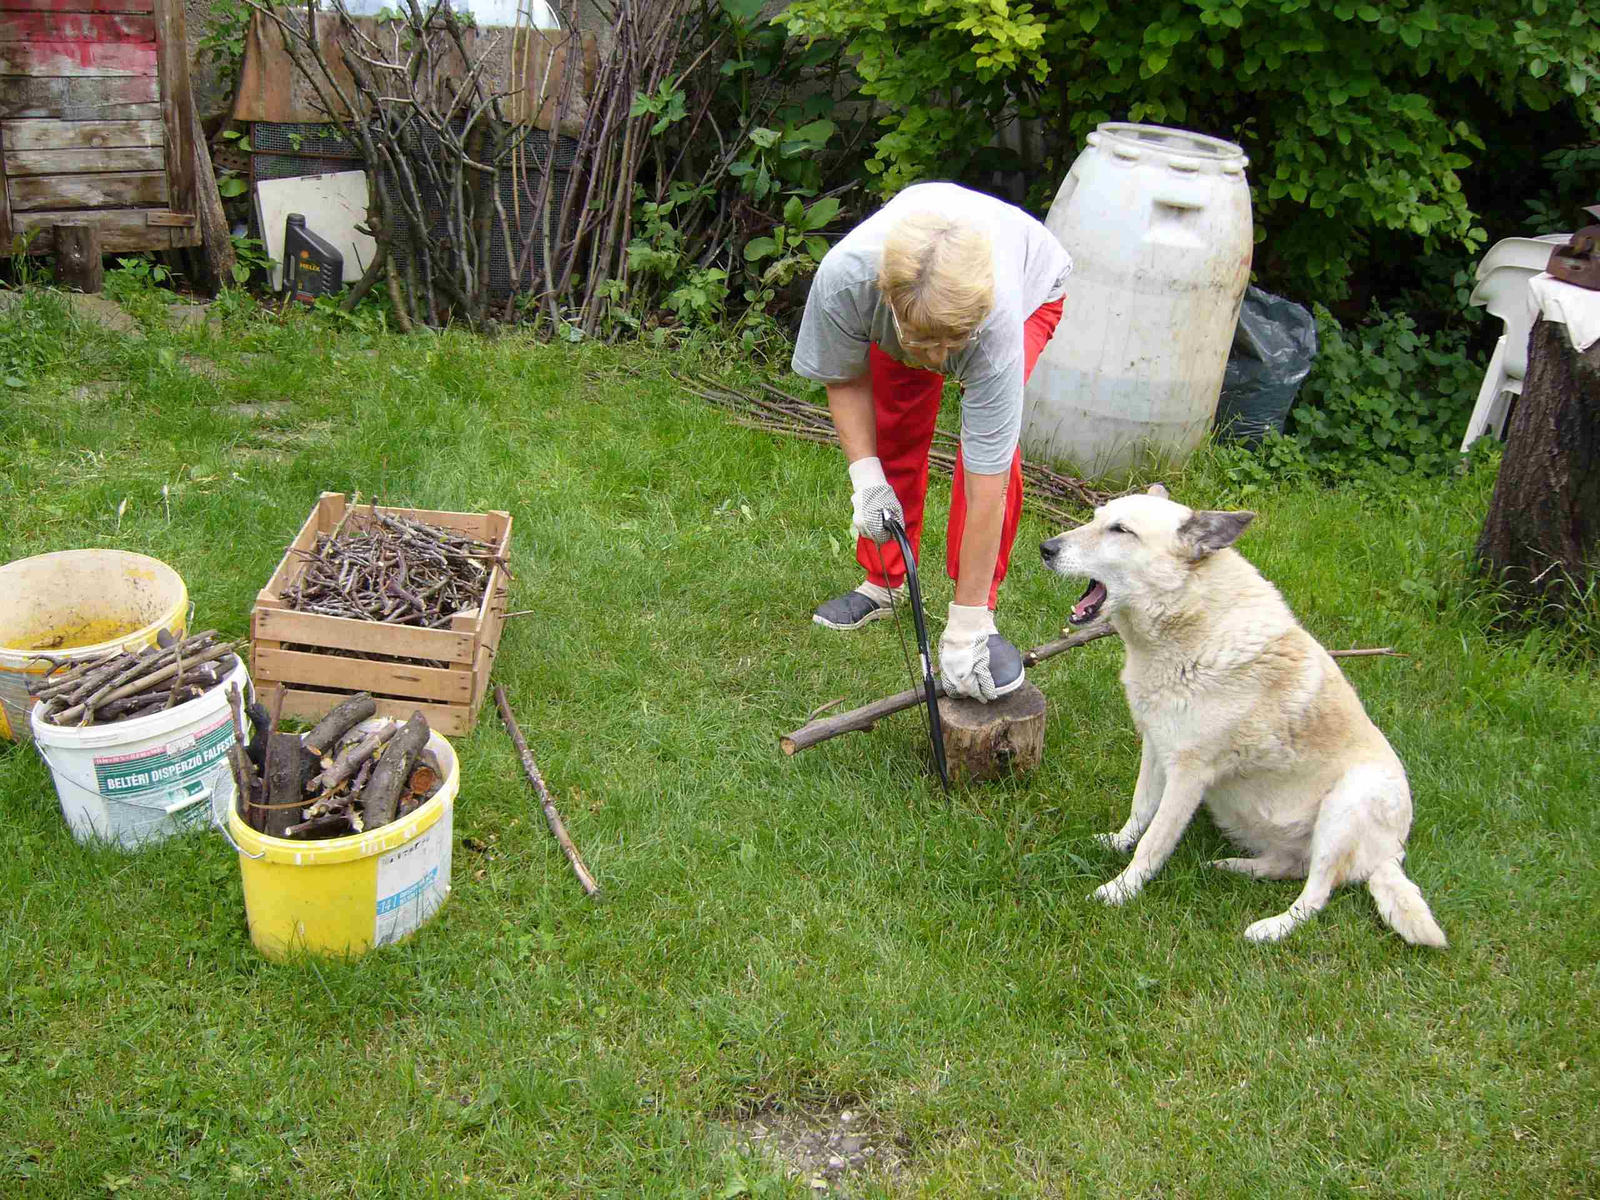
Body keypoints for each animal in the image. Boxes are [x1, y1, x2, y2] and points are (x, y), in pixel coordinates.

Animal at [1036, 486, 1452, 947]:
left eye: (1120, 530)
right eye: (1096, 519)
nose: (1045, 548)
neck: (1190, 620)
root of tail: (1390, 855)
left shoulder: (1188, 773)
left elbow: (1155, 840)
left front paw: (1121, 890)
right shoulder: (1156, 746)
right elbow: (1140, 811)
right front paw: (1115, 843)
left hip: (1351, 800)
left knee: (1318, 893)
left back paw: (1272, 928)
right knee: (1292, 867)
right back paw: (1235, 867)